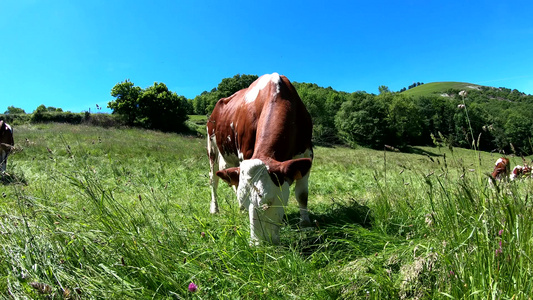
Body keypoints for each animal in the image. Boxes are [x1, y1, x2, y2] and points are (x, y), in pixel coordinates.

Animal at [207, 72, 314, 244]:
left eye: (268, 203)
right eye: (245, 203)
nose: (258, 245)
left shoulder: (307, 153)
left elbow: (302, 194)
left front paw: (305, 223)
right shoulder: (244, 153)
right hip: (212, 149)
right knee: (213, 180)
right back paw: (215, 208)